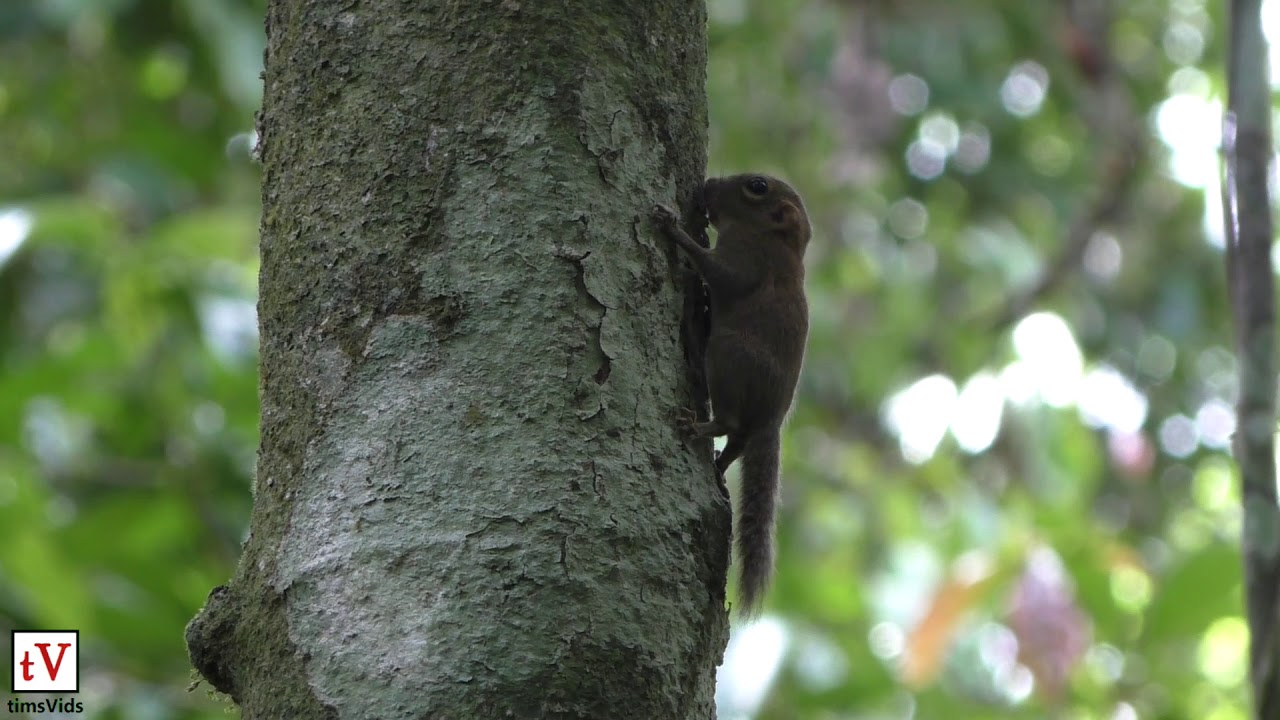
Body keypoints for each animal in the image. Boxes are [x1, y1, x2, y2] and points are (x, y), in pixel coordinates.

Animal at [653, 173, 811, 616]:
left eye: (757, 186)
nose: (707, 184)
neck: (776, 239)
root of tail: (772, 421)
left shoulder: (748, 260)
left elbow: (719, 272)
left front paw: (676, 232)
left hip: (726, 357)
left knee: (730, 423)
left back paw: (698, 426)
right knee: (738, 441)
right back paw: (721, 466)